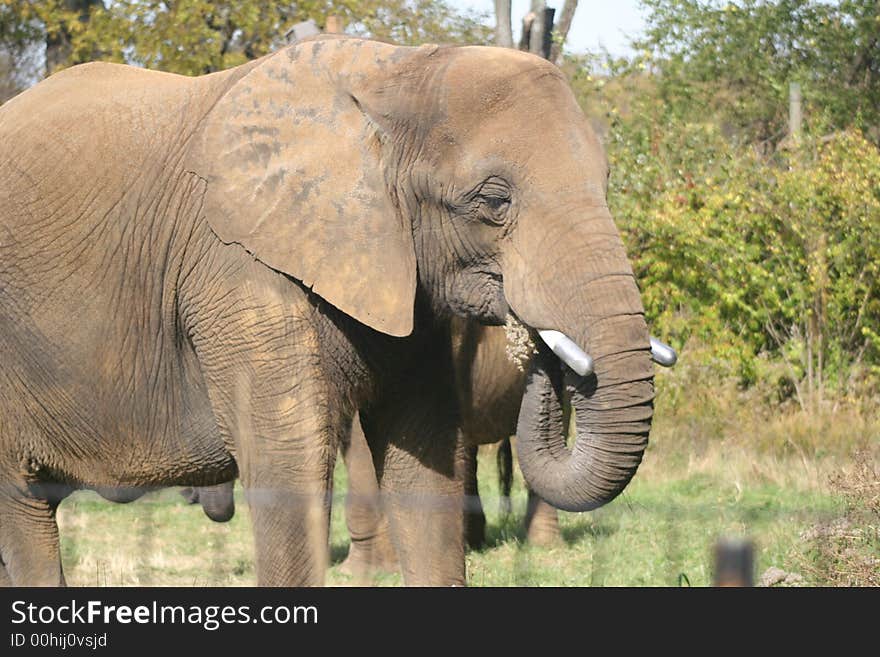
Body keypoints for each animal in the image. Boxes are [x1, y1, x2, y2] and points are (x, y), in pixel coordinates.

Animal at [0, 38, 656, 588]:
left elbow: (425, 456)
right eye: (493, 201)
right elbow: (289, 468)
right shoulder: (239, 271)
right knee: (22, 506)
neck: (395, 72)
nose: (539, 345)